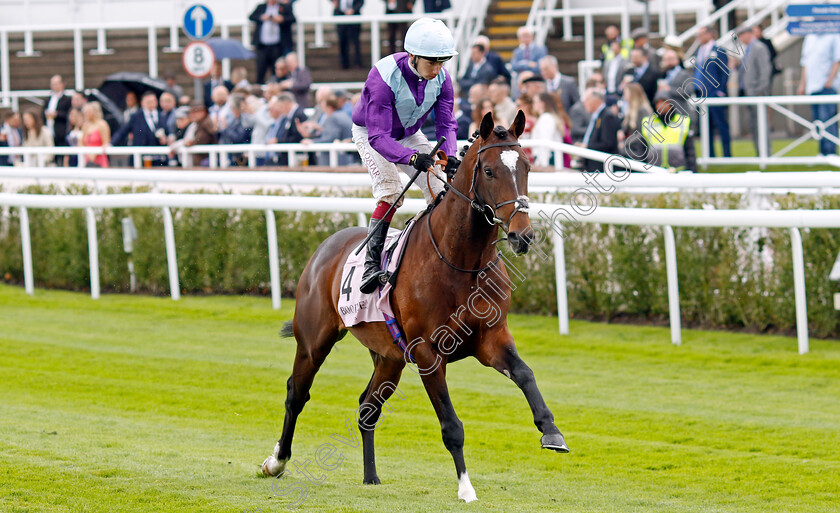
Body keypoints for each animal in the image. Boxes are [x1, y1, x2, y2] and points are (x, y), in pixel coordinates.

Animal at [260, 111, 568, 500]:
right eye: (489, 171)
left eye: (526, 166)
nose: (521, 235)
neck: (461, 262)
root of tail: (325, 247)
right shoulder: (427, 352)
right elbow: (451, 425)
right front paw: (466, 488)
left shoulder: (490, 339)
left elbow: (525, 374)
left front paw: (551, 431)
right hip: (314, 341)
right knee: (296, 393)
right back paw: (276, 462)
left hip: (389, 357)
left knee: (367, 407)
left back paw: (371, 476)